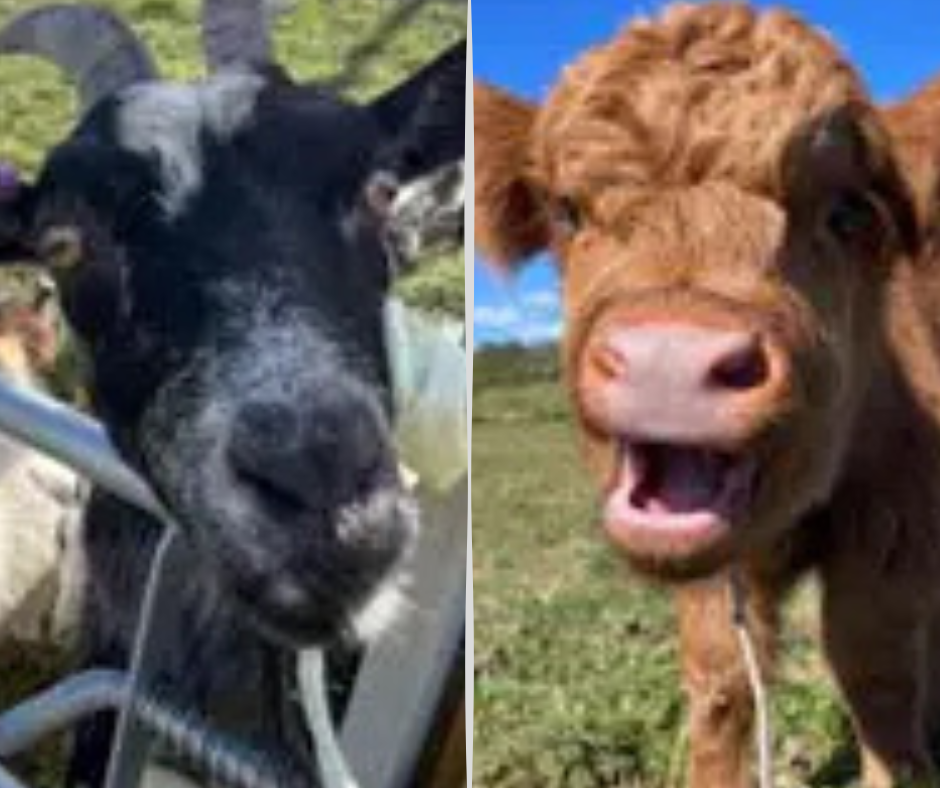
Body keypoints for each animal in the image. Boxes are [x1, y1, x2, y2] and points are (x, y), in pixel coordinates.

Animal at [475, 3, 940, 786]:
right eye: (567, 212)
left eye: (848, 213)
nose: (669, 357)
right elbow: (721, 679)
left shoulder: (894, 526)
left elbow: (873, 674)